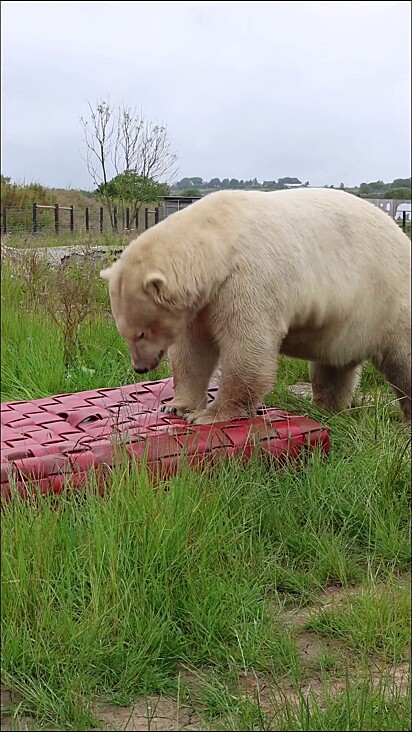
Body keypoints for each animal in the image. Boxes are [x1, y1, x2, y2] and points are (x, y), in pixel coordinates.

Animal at [100, 190, 412, 424]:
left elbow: (246, 345)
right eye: (124, 332)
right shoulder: (202, 302)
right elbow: (192, 350)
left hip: (388, 299)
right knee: (333, 367)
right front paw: (177, 406)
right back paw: (327, 409)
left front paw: (211, 415)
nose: (140, 367)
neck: (220, 238)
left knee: (402, 360)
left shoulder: (248, 278)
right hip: (346, 322)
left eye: (141, 332)